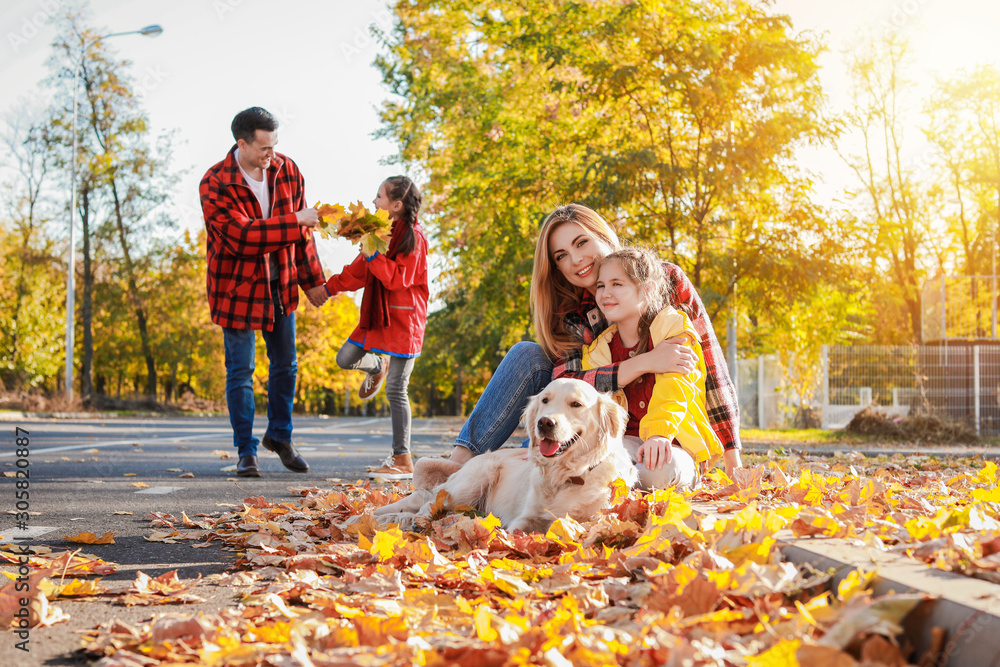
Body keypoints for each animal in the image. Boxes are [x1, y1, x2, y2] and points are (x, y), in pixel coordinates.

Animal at [372, 380, 636, 532]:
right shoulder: (525, 517)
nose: (544, 423)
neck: (566, 474)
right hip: (473, 481)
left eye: (576, 404)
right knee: (430, 501)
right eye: (545, 400)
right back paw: (418, 520)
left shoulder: (595, 517)